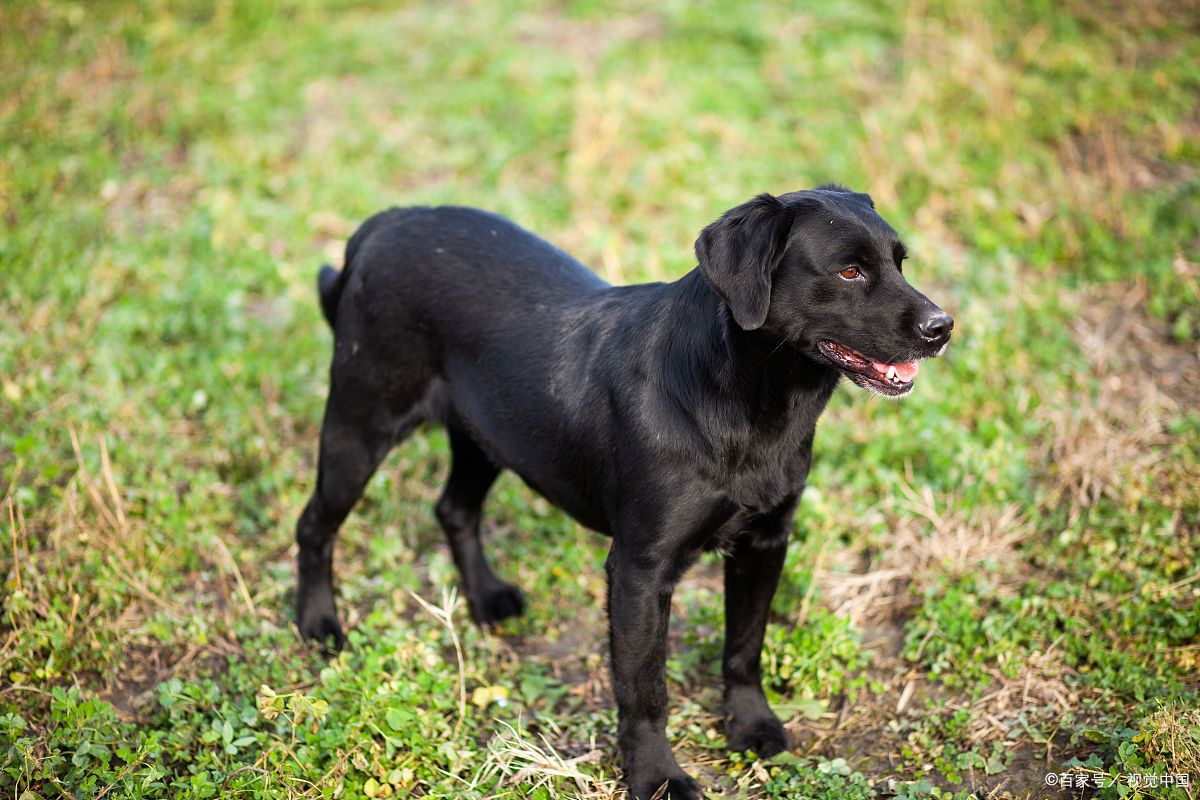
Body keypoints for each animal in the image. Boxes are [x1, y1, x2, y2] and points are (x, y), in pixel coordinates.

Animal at [295, 184, 950, 796]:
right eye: (849, 270)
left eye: (900, 262)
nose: (942, 327)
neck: (746, 399)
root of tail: (388, 221)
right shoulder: (640, 570)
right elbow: (644, 692)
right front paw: (658, 778)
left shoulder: (765, 542)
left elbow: (744, 646)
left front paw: (749, 725)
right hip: (360, 424)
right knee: (315, 525)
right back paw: (319, 625)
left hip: (490, 434)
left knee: (453, 508)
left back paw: (485, 598)